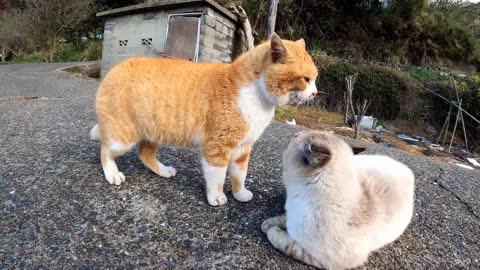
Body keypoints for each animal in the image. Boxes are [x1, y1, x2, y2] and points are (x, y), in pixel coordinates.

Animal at [91, 34, 318, 207]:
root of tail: (115, 68)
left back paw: (164, 171)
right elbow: (217, 176)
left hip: (154, 133)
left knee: (144, 153)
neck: (257, 96)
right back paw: (112, 174)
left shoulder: (243, 148)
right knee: (105, 149)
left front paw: (240, 193)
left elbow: (239, 174)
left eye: (315, 78)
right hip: (122, 138)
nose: (315, 93)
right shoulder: (217, 146)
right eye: (306, 79)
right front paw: (216, 197)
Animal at [260, 130, 414, 268]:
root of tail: (404, 167)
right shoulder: (290, 216)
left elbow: (283, 242)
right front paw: (267, 223)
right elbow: (282, 218)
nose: (293, 134)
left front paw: (271, 229)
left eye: (295, 137)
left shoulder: (321, 258)